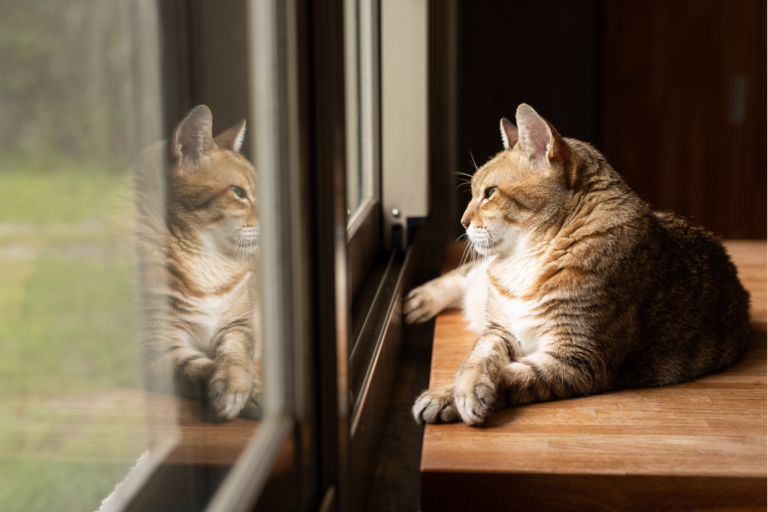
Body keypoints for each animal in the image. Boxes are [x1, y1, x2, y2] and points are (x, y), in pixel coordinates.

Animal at [135, 104, 260, 420]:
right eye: (238, 192)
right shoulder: (156, 347)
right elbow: (199, 367)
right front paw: (245, 391)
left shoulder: (238, 325)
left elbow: (235, 356)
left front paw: (242, 385)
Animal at [408, 104, 752, 428]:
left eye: (490, 193)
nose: (463, 222)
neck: (527, 259)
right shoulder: (499, 332)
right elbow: (477, 361)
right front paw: (456, 389)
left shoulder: (577, 359)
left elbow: (510, 376)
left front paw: (451, 396)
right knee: (463, 275)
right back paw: (417, 301)